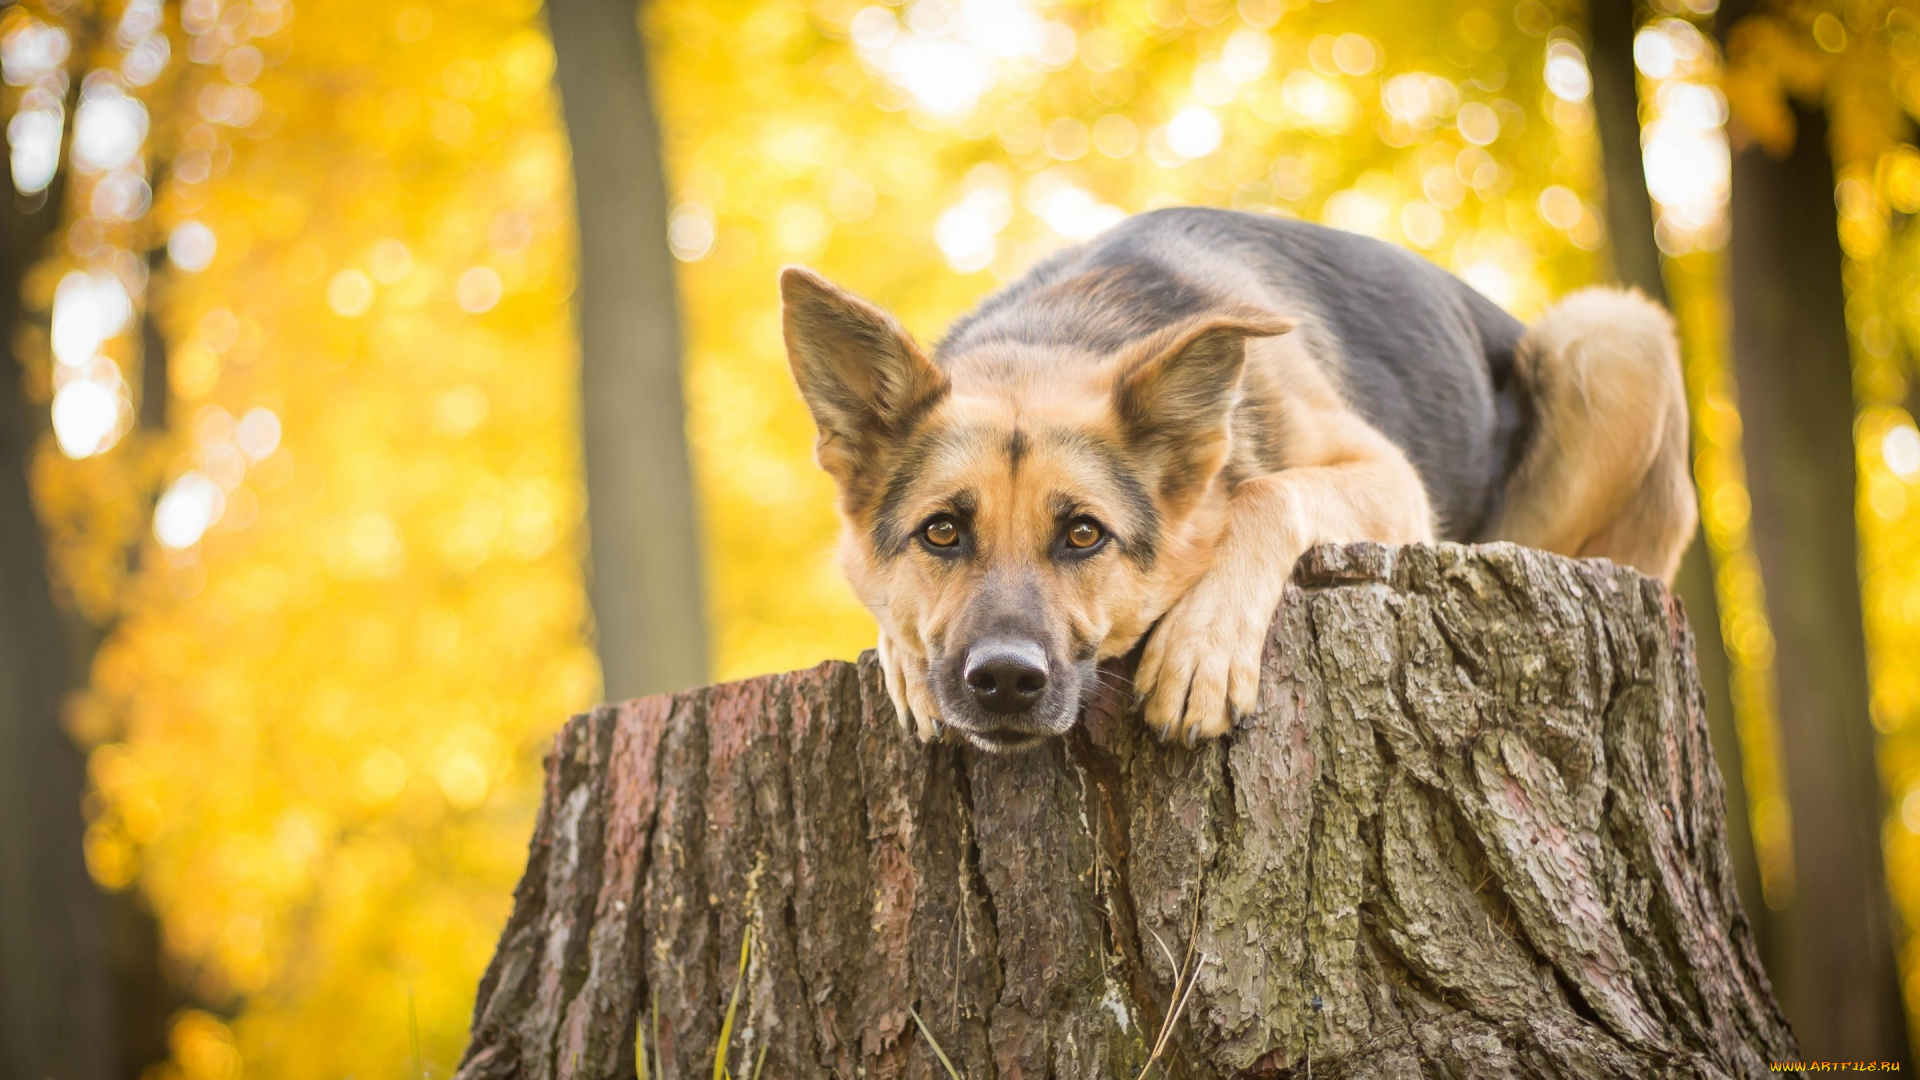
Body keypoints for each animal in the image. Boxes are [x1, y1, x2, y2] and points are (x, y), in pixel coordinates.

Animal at [783, 208, 1697, 749]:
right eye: (941, 531)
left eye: (1083, 534)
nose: (1005, 679)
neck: (1059, 332)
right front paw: (902, 654)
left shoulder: (1389, 477)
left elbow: (1265, 490)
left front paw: (1204, 644)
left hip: (1614, 335)